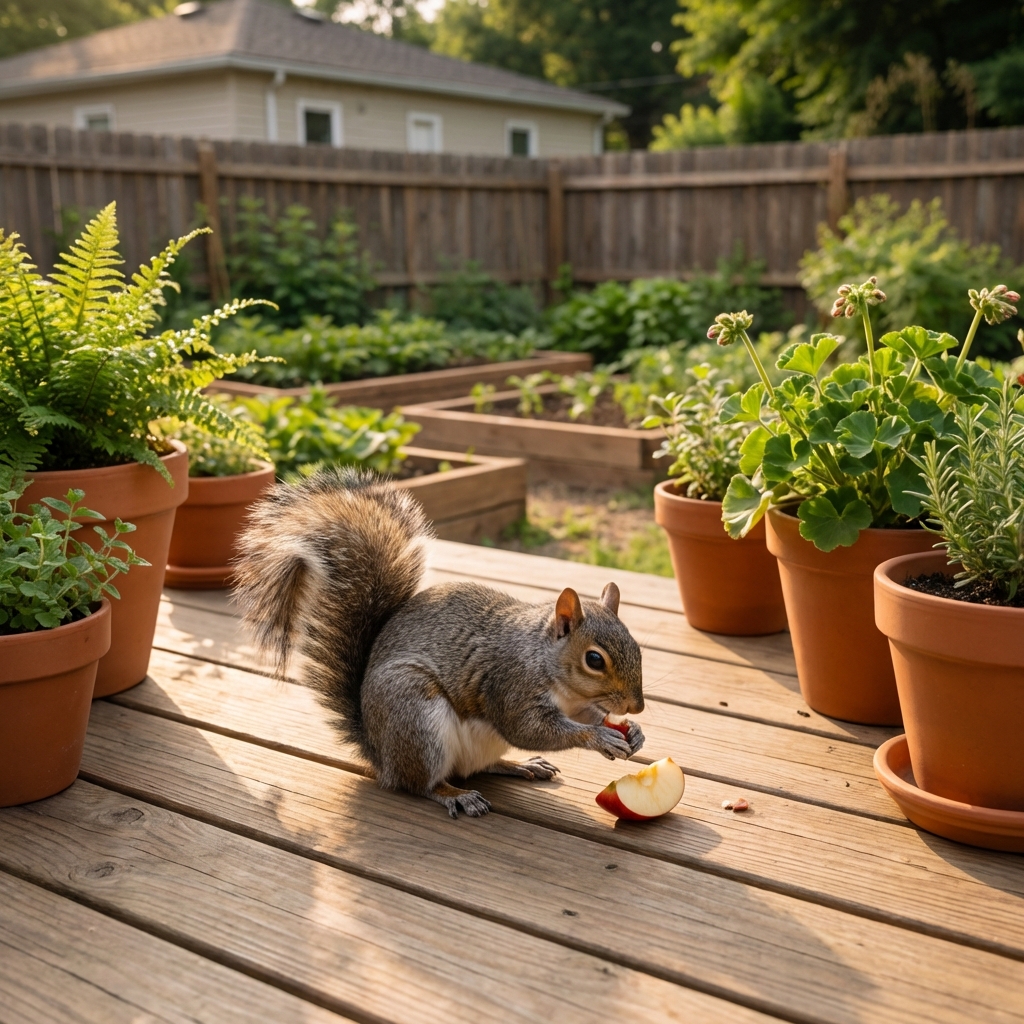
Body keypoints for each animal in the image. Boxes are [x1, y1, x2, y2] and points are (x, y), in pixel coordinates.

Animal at [234, 467, 645, 819]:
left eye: (637, 647)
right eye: (594, 660)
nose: (637, 707)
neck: (546, 662)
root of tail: (380, 754)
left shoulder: (574, 702)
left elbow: (583, 715)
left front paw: (632, 732)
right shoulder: (510, 686)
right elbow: (530, 729)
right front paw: (598, 737)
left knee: (478, 766)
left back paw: (520, 765)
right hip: (416, 719)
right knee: (420, 784)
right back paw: (456, 795)